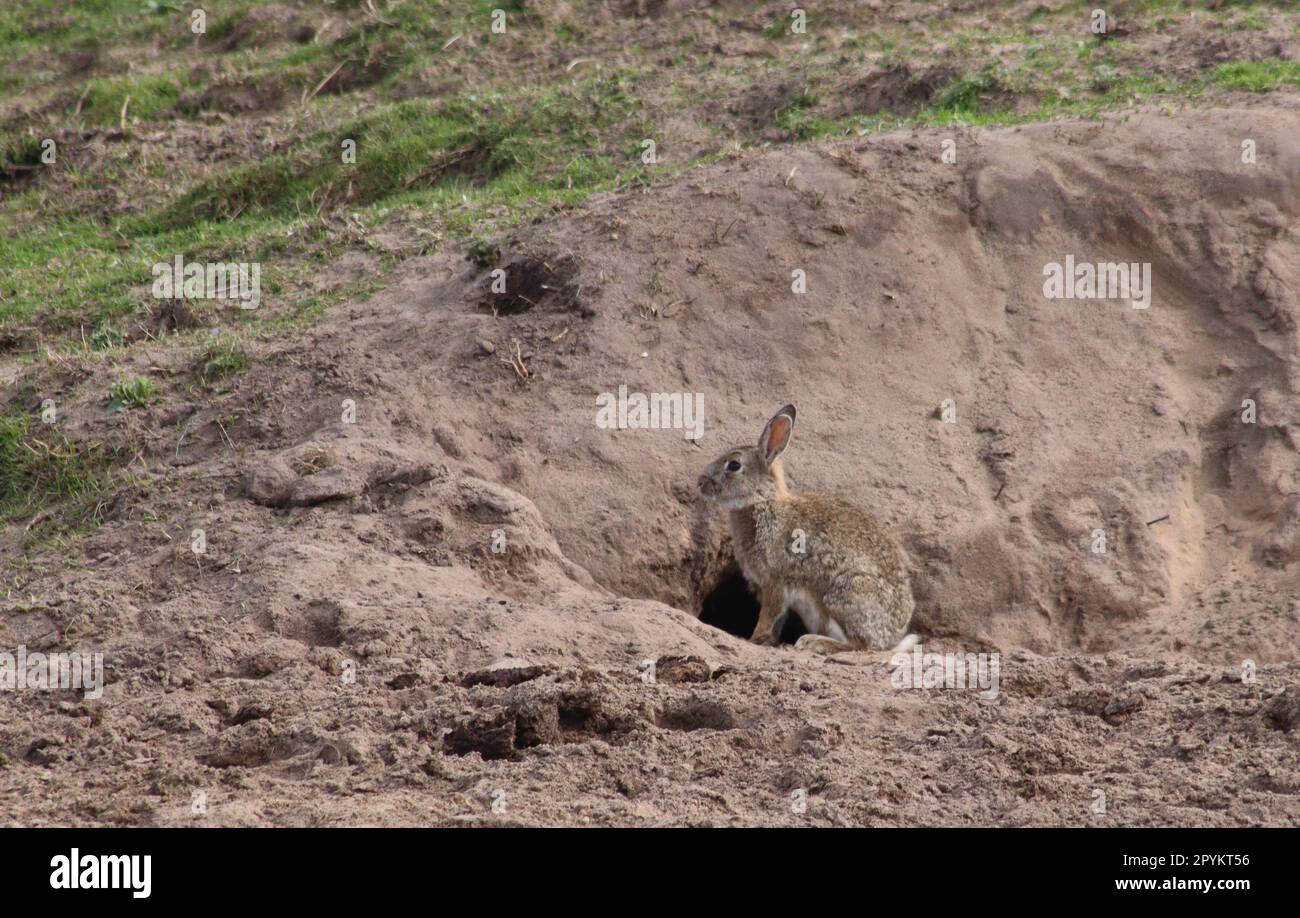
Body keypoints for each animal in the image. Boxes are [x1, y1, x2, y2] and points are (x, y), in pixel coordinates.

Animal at [697, 404, 915, 654]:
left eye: (733, 465)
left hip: (844, 593)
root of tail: (893, 638)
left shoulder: (775, 581)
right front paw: (767, 640)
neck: (762, 501)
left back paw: (813, 641)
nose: (700, 483)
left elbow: (769, 615)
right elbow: (777, 620)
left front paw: (753, 638)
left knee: (861, 645)